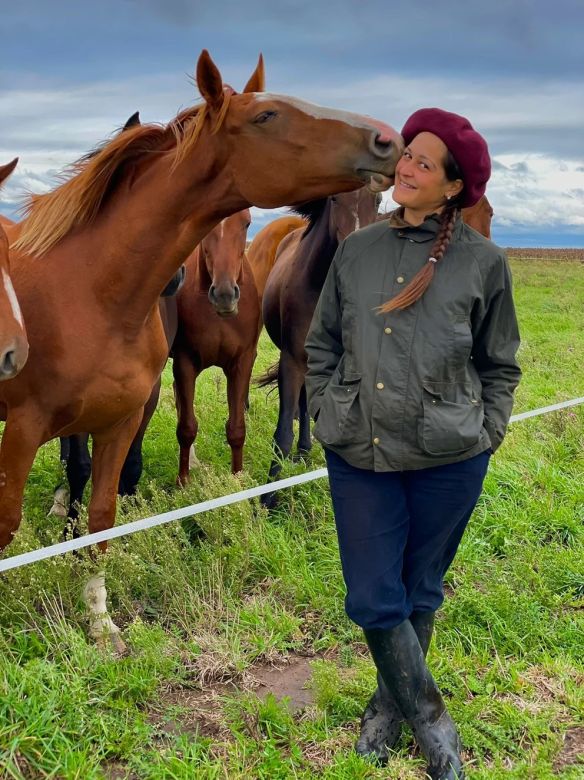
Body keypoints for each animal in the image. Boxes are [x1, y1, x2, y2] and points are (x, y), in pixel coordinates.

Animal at [171, 207, 258, 482]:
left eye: (247, 223)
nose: (224, 295)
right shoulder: (185, 362)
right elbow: (187, 428)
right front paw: (183, 480)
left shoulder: (242, 362)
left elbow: (236, 428)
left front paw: (238, 478)